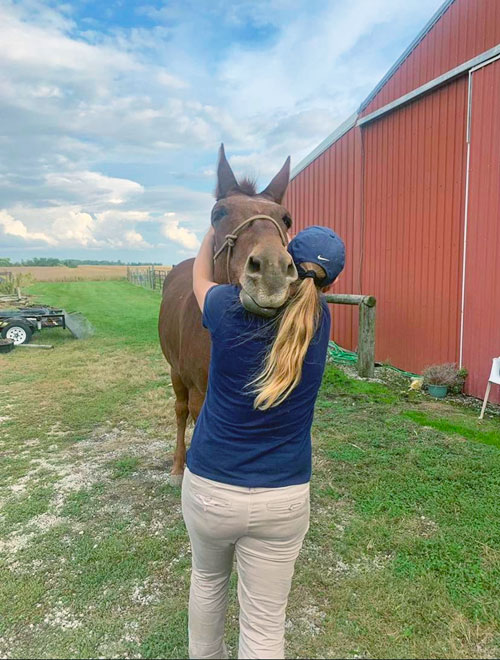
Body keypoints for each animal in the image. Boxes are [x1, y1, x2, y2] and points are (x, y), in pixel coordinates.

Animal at [158, 146, 294, 484]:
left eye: (285, 218)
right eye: (218, 214)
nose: (272, 272)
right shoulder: (201, 395)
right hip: (175, 372)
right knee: (180, 411)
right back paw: (178, 465)